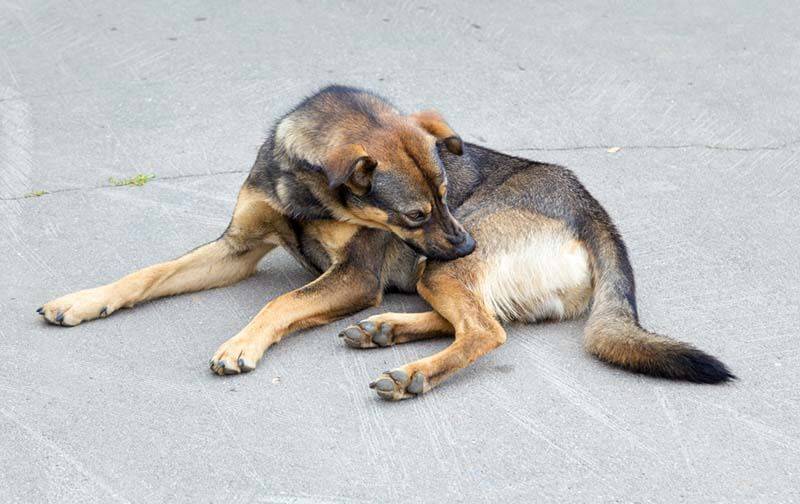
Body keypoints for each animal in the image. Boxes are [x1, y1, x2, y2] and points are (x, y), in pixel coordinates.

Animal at [40, 84, 736, 400]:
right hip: (439, 273)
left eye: (448, 193)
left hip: (440, 272)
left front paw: (242, 345)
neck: (306, 193)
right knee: (473, 320)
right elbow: (148, 273)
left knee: (486, 330)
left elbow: (280, 302)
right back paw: (386, 331)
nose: (465, 244)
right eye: (415, 213)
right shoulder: (236, 247)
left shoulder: (355, 277)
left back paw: (411, 372)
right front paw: (82, 300)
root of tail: (595, 211)